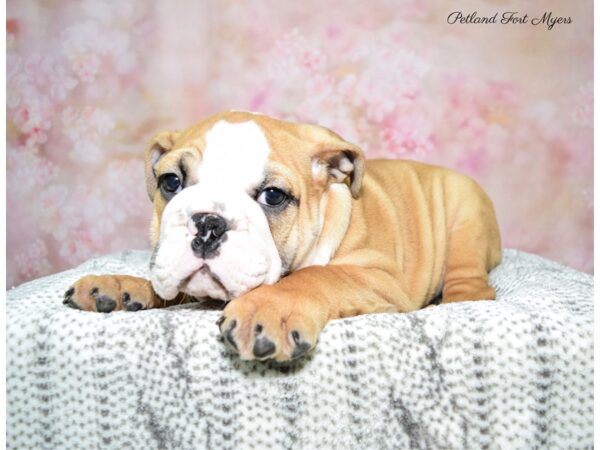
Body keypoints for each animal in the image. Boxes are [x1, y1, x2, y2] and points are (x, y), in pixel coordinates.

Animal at [64, 110, 502, 360]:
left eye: (272, 195)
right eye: (171, 182)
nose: (208, 222)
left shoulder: (378, 276)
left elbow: (317, 276)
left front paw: (267, 308)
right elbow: (166, 285)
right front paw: (120, 286)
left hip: (466, 215)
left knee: (470, 279)